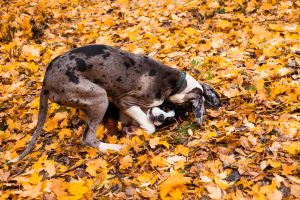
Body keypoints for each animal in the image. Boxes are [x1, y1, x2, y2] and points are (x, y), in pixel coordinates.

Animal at [8, 44, 220, 163]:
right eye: (168, 108)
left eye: (170, 115)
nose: (161, 117)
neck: (177, 84)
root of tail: (46, 81)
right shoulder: (125, 101)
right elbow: (149, 126)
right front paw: (140, 130)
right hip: (100, 98)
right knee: (88, 138)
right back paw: (113, 148)